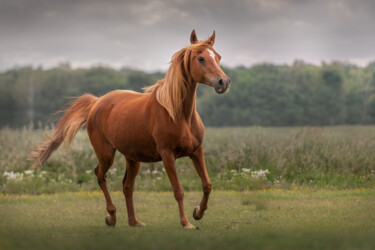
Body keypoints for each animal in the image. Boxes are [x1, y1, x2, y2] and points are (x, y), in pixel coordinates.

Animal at [31, 30, 232, 229]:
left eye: (218, 57)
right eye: (201, 58)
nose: (223, 82)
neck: (178, 114)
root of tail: (97, 102)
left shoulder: (196, 151)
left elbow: (207, 185)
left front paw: (198, 212)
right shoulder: (168, 155)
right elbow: (178, 191)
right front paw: (186, 223)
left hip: (133, 159)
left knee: (127, 186)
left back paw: (134, 221)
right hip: (106, 155)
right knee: (100, 175)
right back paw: (112, 217)